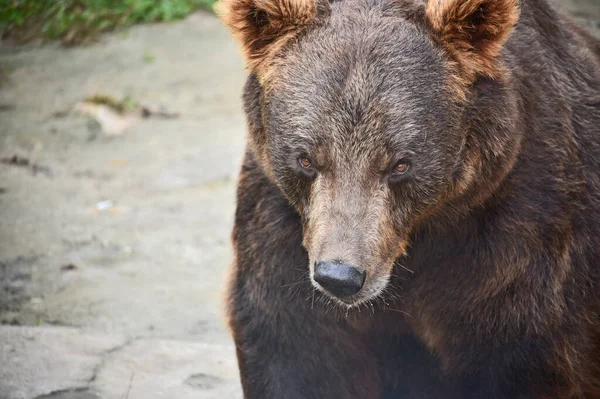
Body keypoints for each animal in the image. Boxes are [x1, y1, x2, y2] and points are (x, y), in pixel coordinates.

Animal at [219, 0, 600, 396]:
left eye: (400, 164)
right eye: (306, 158)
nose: (340, 275)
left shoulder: (517, 239)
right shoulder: (281, 229)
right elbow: (297, 348)